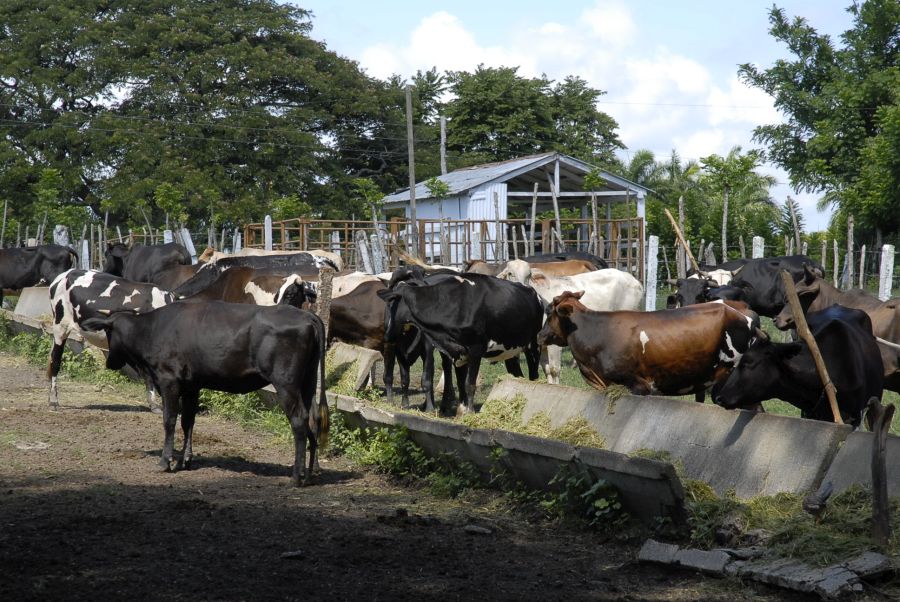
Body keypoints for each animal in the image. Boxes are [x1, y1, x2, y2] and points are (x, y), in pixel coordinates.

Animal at [81, 300, 330, 482]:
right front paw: (184, 461)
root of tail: (307, 315)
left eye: (108, 332)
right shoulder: (192, 385)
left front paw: (165, 461)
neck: (151, 330)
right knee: (312, 418)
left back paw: (296, 477)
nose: (110, 362)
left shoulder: (169, 381)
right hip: (307, 382)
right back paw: (310, 473)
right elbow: (188, 421)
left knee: (299, 420)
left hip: (285, 383)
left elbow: (169, 420)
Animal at [496, 258, 644, 382]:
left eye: (529, 275)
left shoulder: (554, 344)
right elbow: (547, 370)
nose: (523, 286)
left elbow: (554, 370)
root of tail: (635, 281)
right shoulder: (541, 344)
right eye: (510, 273)